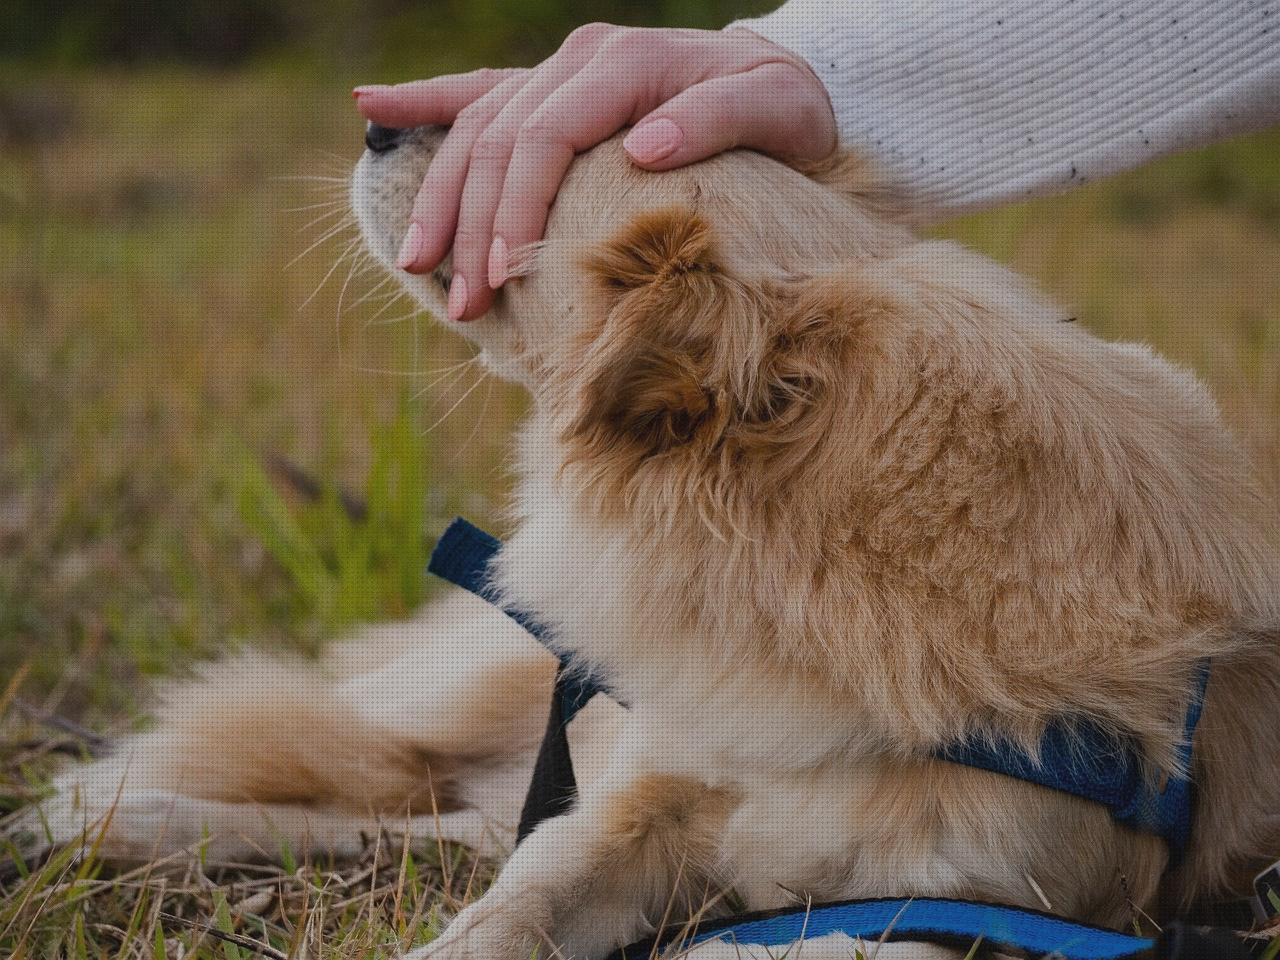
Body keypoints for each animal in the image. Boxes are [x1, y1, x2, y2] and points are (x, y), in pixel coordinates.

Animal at [15, 128, 1280, 960]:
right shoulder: (633, 805)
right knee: (362, 777)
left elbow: (835, 943)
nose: (380, 123)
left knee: (422, 821)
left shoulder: (982, 913)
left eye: (519, 195)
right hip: (460, 700)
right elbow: (511, 908)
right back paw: (101, 817)